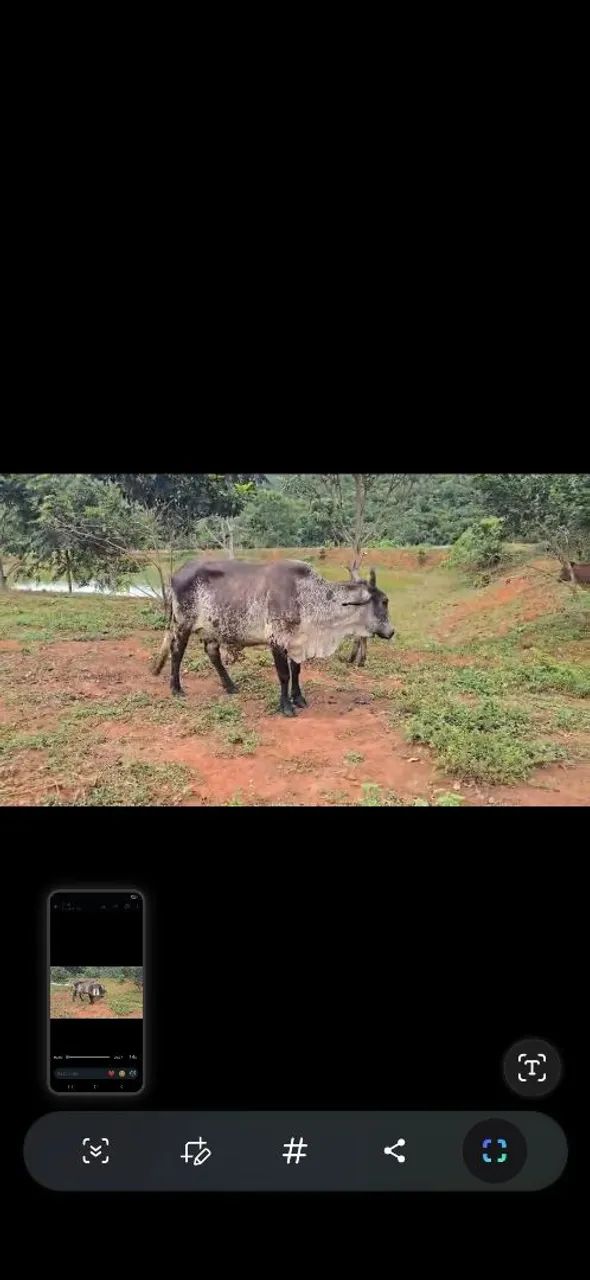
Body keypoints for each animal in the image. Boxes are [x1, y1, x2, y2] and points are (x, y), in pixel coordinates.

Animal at [152, 559, 395, 716]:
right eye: (384, 601)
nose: (391, 632)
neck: (307, 597)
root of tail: (177, 573)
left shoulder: (297, 643)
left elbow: (296, 671)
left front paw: (299, 698)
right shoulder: (276, 640)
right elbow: (284, 675)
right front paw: (286, 706)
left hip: (211, 629)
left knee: (212, 654)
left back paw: (230, 686)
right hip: (182, 624)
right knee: (177, 651)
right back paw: (176, 688)